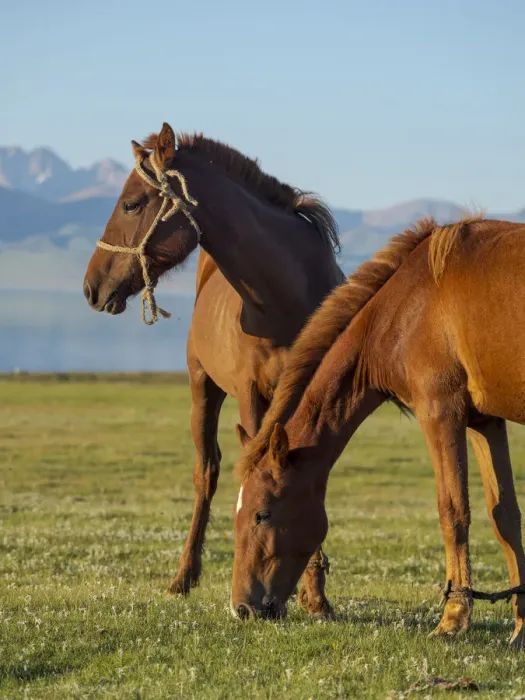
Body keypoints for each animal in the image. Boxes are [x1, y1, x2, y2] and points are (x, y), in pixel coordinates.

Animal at [83, 122, 344, 617]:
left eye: (131, 203)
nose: (91, 286)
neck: (285, 296)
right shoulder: (252, 396)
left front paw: (315, 595)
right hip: (202, 390)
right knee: (206, 473)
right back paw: (184, 576)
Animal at [231, 215, 525, 648]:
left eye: (261, 514)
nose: (242, 608)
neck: (411, 305)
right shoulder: (484, 422)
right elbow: (505, 516)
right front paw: (521, 628)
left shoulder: (441, 413)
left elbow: (453, 510)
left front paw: (452, 619)